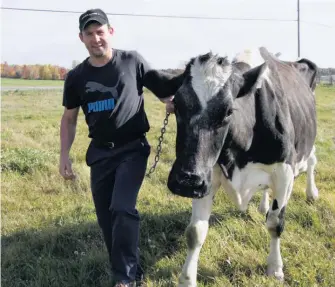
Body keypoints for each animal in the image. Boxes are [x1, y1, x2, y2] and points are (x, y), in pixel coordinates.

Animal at [167, 47, 318, 286]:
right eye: (176, 104)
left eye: (229, 111)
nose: (186, 180)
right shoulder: (207, 176)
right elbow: (195, 231)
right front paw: (187, 279)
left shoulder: (284, 172)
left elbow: (275, 223)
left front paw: (275, 268)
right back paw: (263, 206)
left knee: (312, 161)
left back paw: (312, 193)